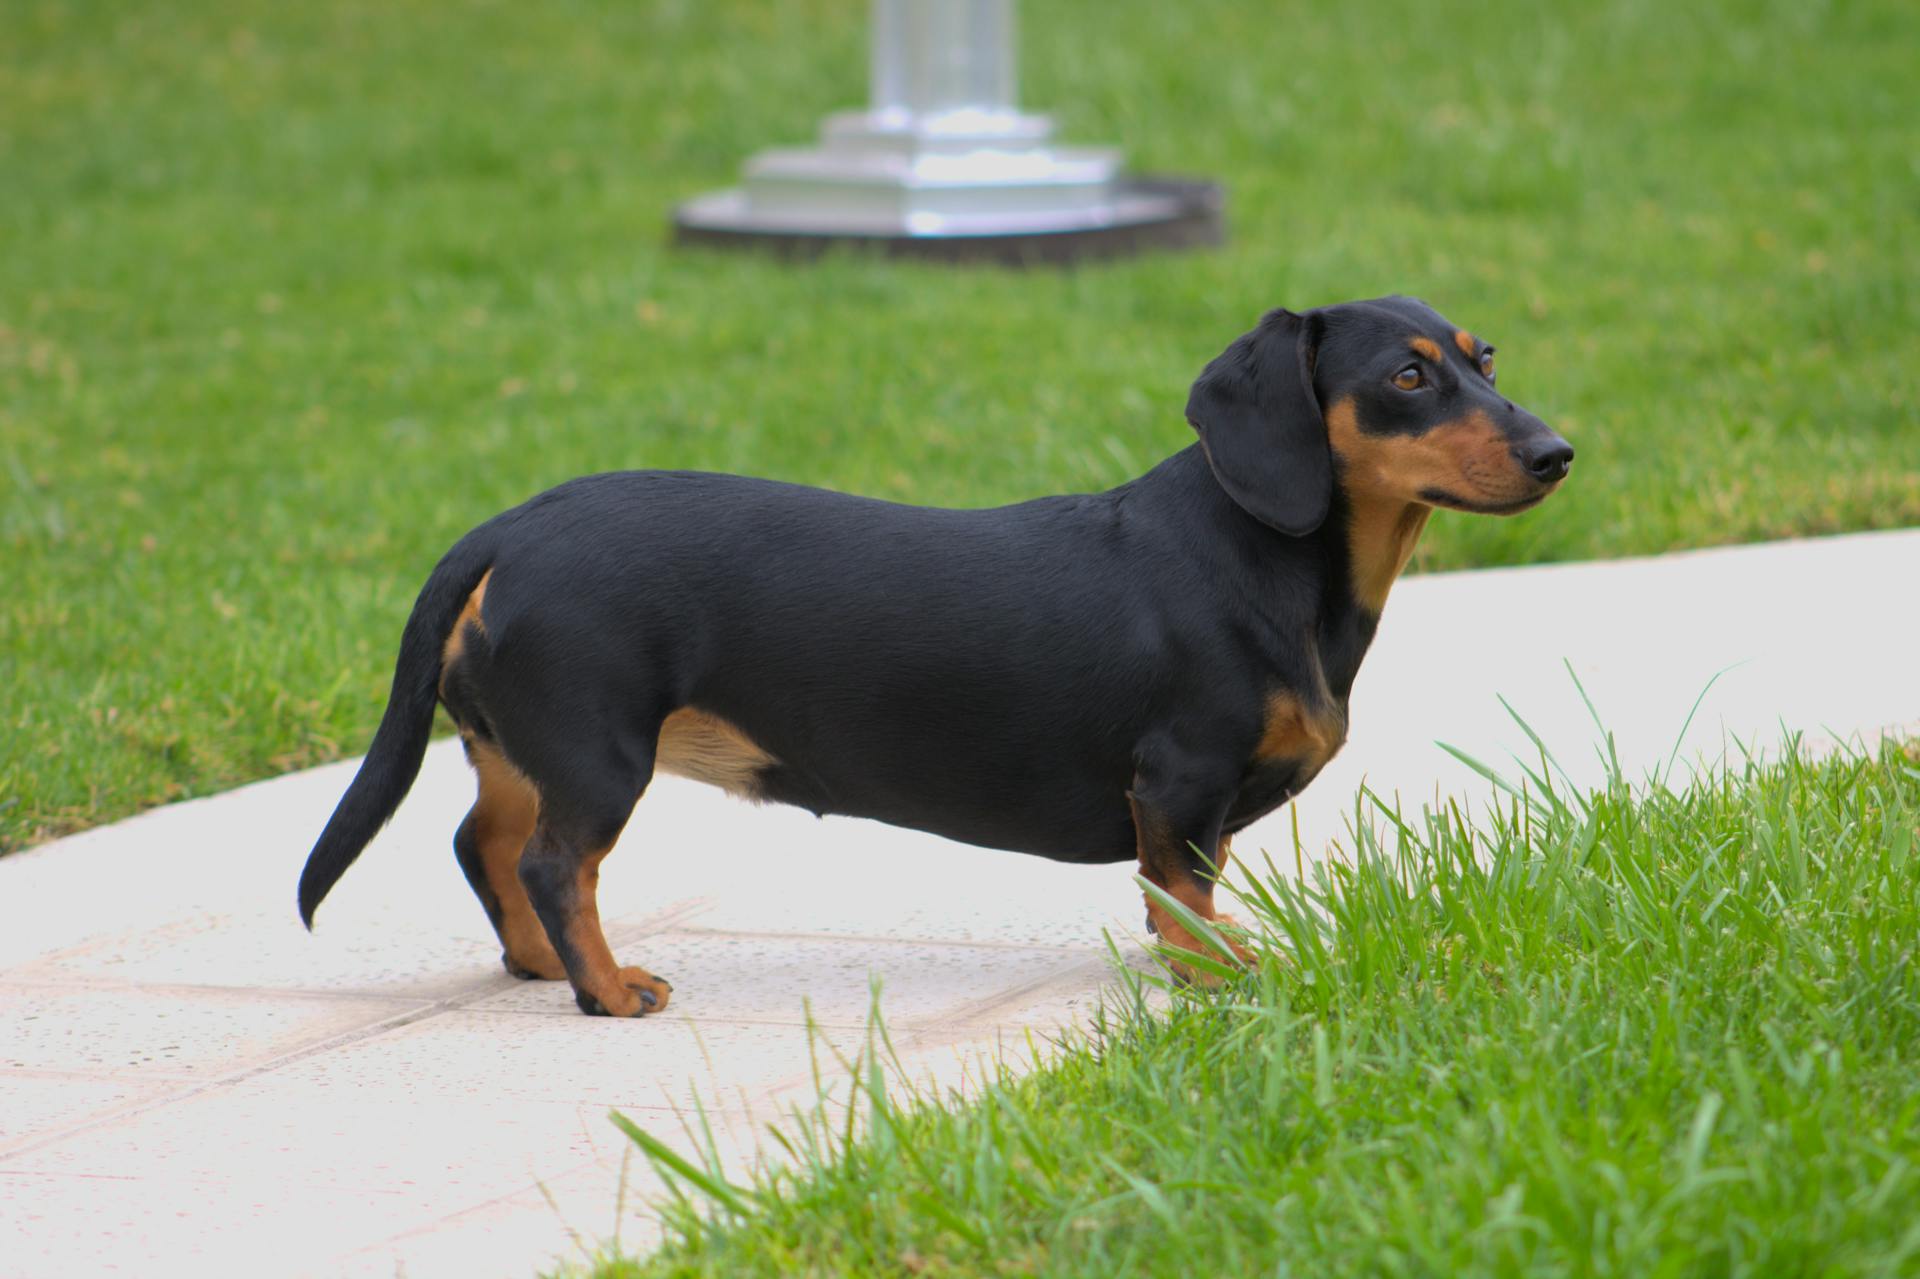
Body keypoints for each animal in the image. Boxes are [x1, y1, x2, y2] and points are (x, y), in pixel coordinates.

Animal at [295, 293, 1559, 1013]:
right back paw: (607, 989)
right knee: (557, 865)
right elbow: (1183, 896)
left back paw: (548, 968)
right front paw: (1221, 979)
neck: (1260, 556)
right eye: (1407, 375)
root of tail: (505, 528)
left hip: (520, 747)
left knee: (487, 847)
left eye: (1486, 358)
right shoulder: (1181, 780)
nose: (1558, 452)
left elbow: (1193, 896)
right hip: (600, 752)